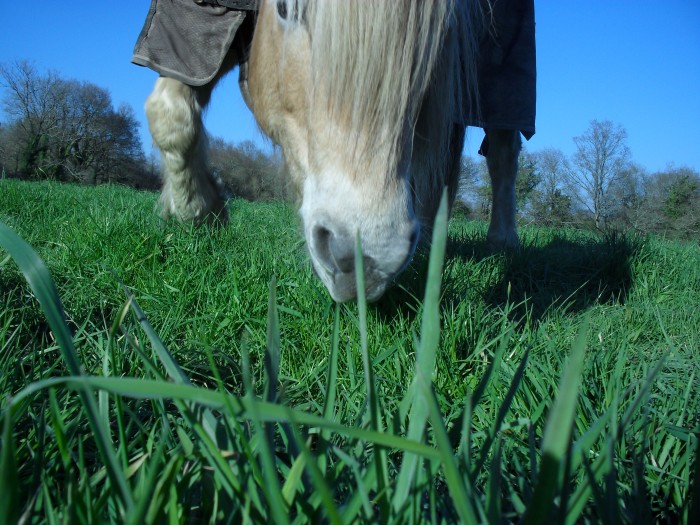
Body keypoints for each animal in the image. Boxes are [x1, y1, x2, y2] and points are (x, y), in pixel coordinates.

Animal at [133, 0, 536, 300]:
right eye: (284, 8)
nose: (366, 258)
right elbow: (170, 113)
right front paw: (198, 211)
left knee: (502, 151)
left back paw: (502, 242)